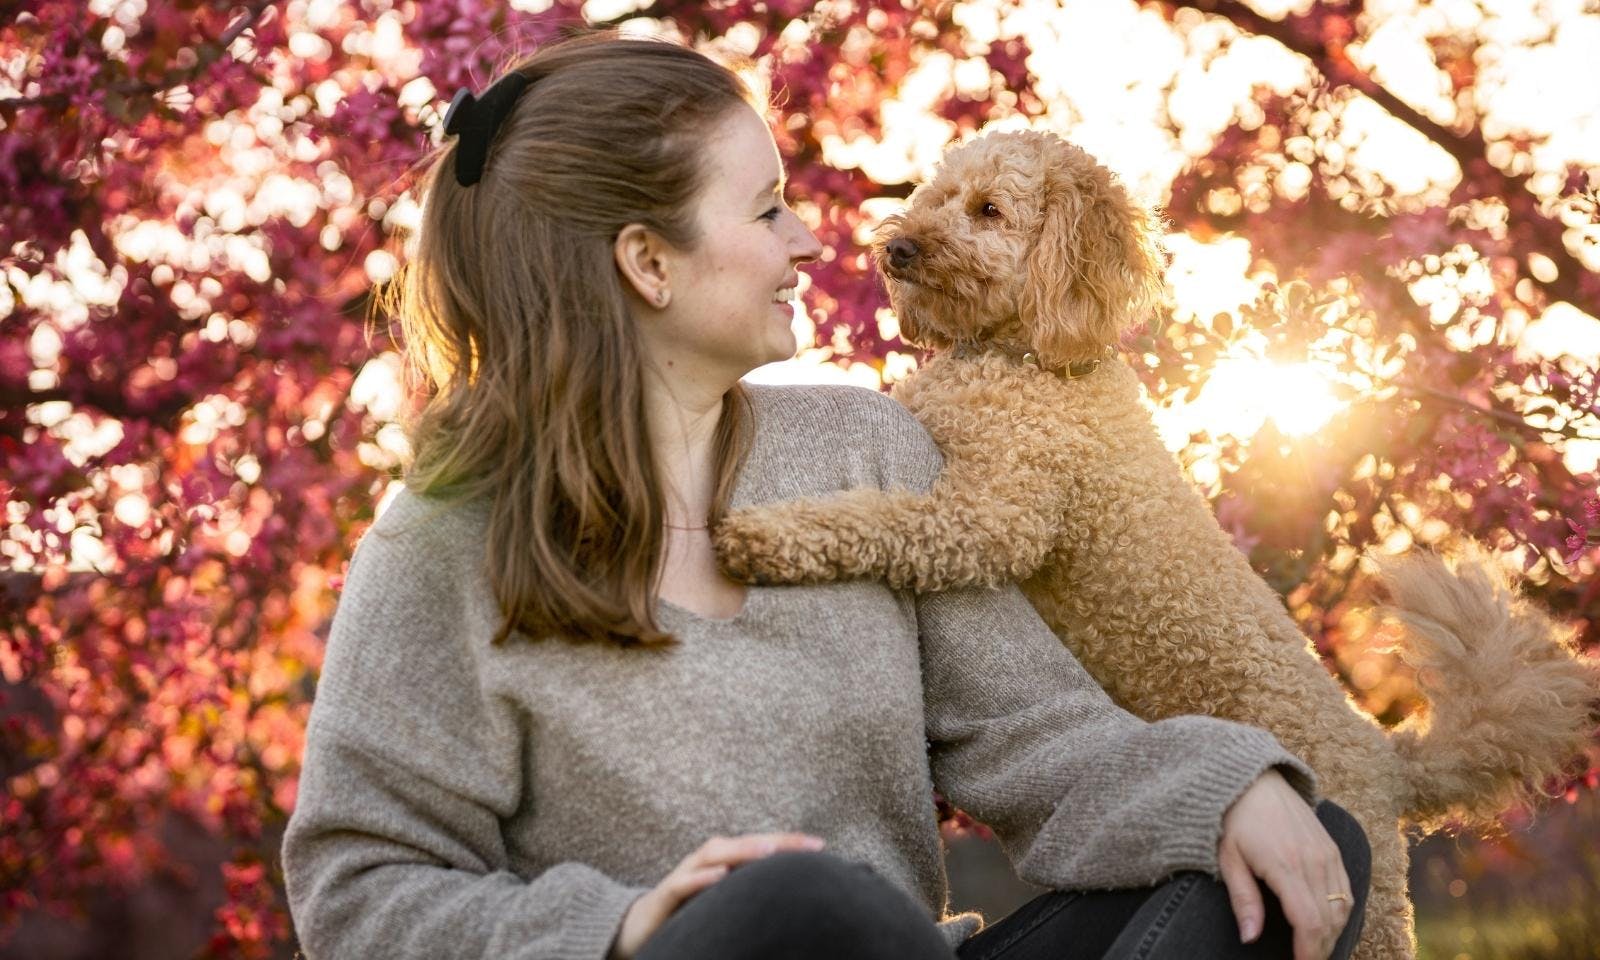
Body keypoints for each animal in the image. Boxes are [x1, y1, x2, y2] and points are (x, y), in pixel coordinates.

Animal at [716, 129, 1600, 960]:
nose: (897, 249)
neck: (1025, 358)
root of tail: (1388, 763)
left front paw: (764, 537)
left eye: (990, 211)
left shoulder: (989, 516)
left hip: (1366, 917)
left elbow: (874, 518)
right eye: (936, 197)